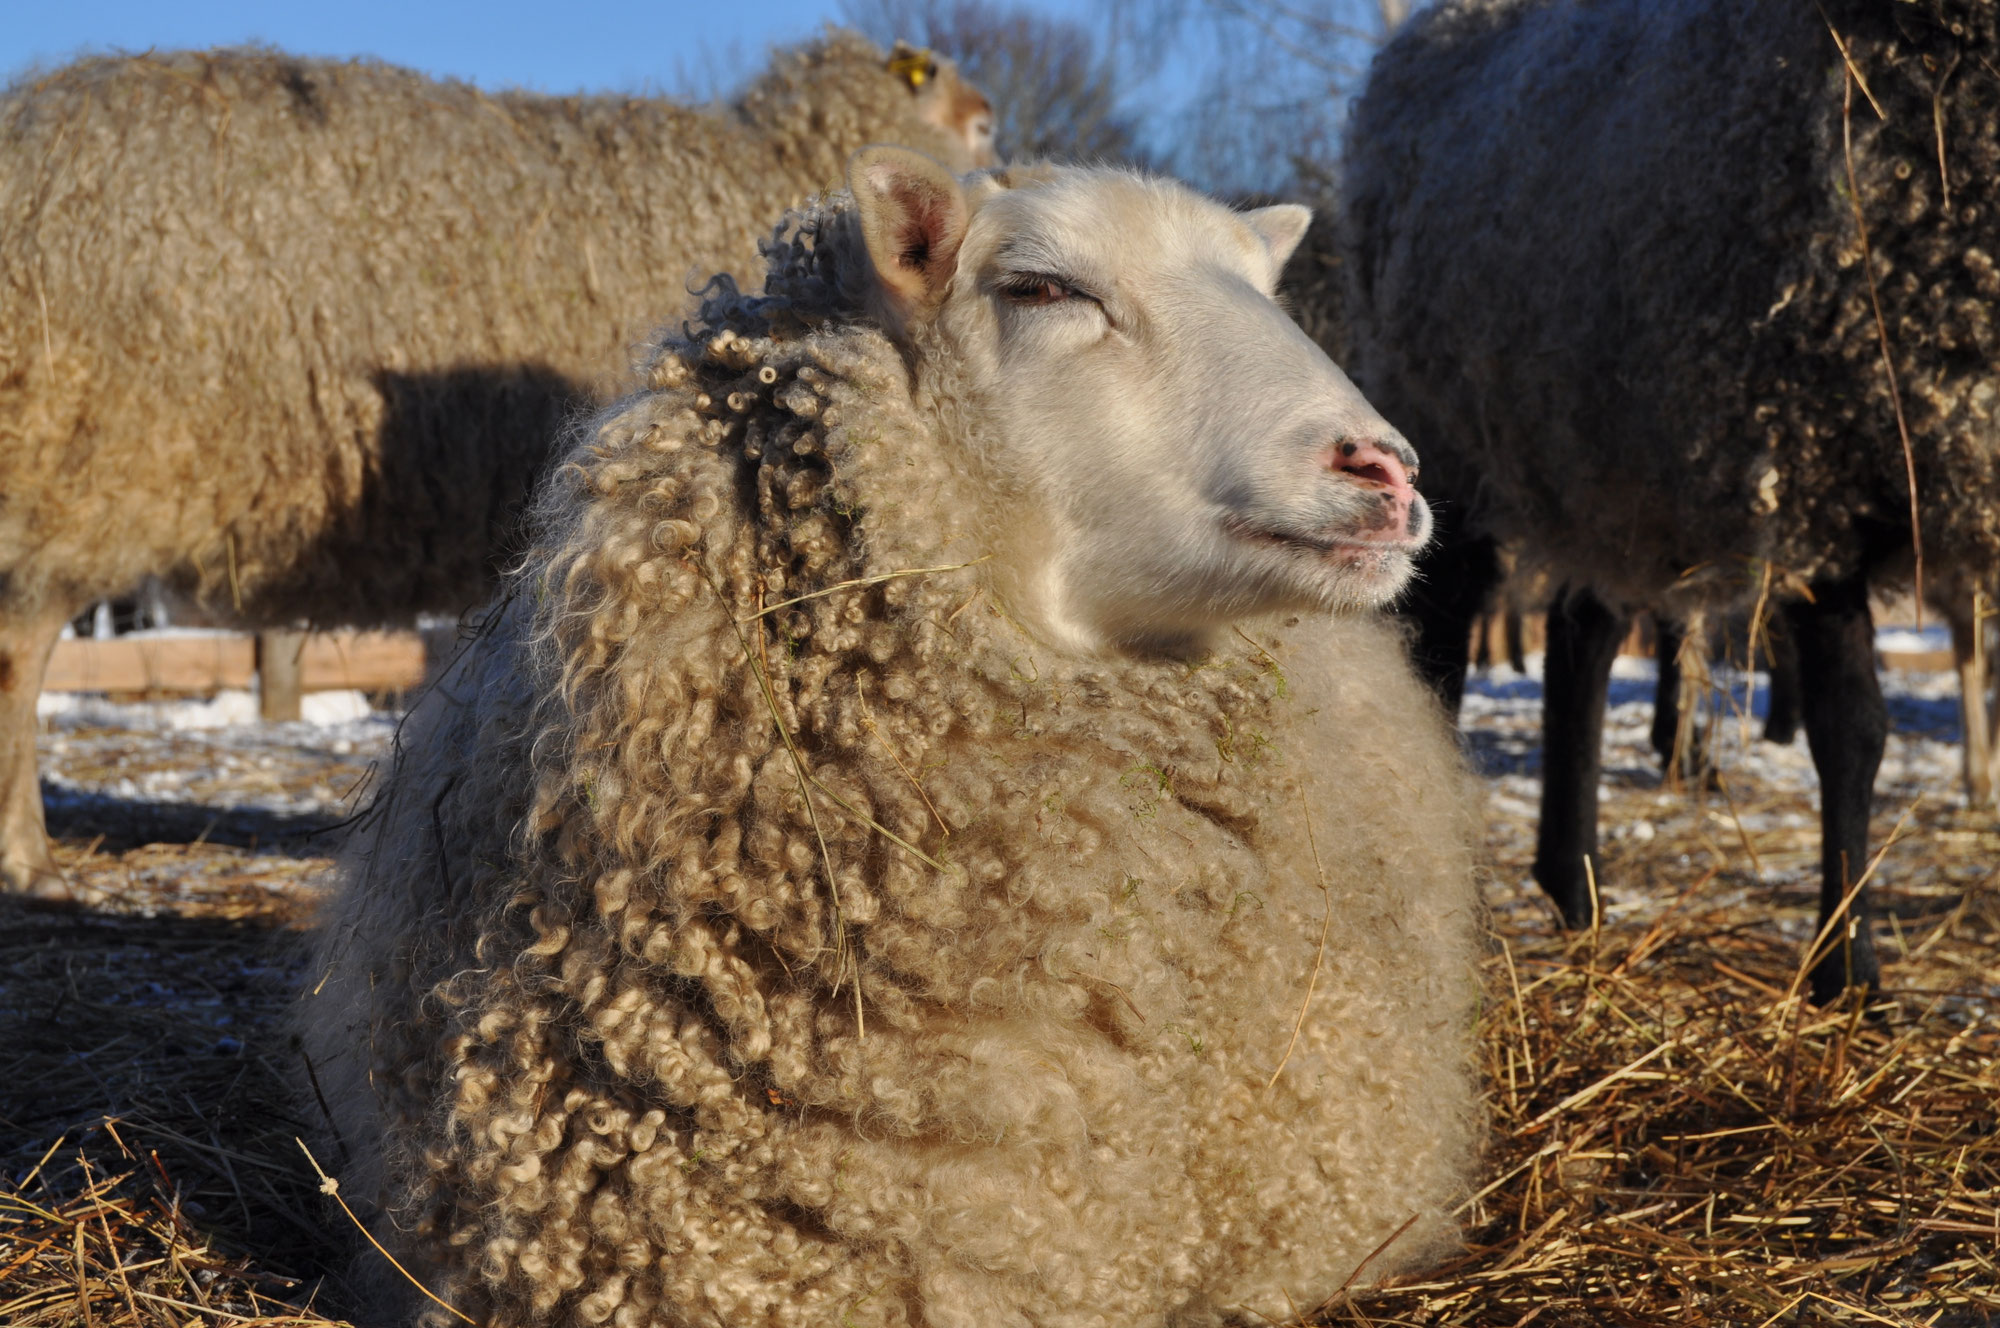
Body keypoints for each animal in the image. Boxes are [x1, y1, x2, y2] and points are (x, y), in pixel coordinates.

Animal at [1342, 0, 2000, 1002]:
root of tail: (1422, 37)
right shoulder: (1817, 465)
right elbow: (1853, 730)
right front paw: (1846, 973)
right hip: (1446, 421)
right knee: (1444, 627)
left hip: (1601, 463)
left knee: (1582, 634)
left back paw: (1577, 888)